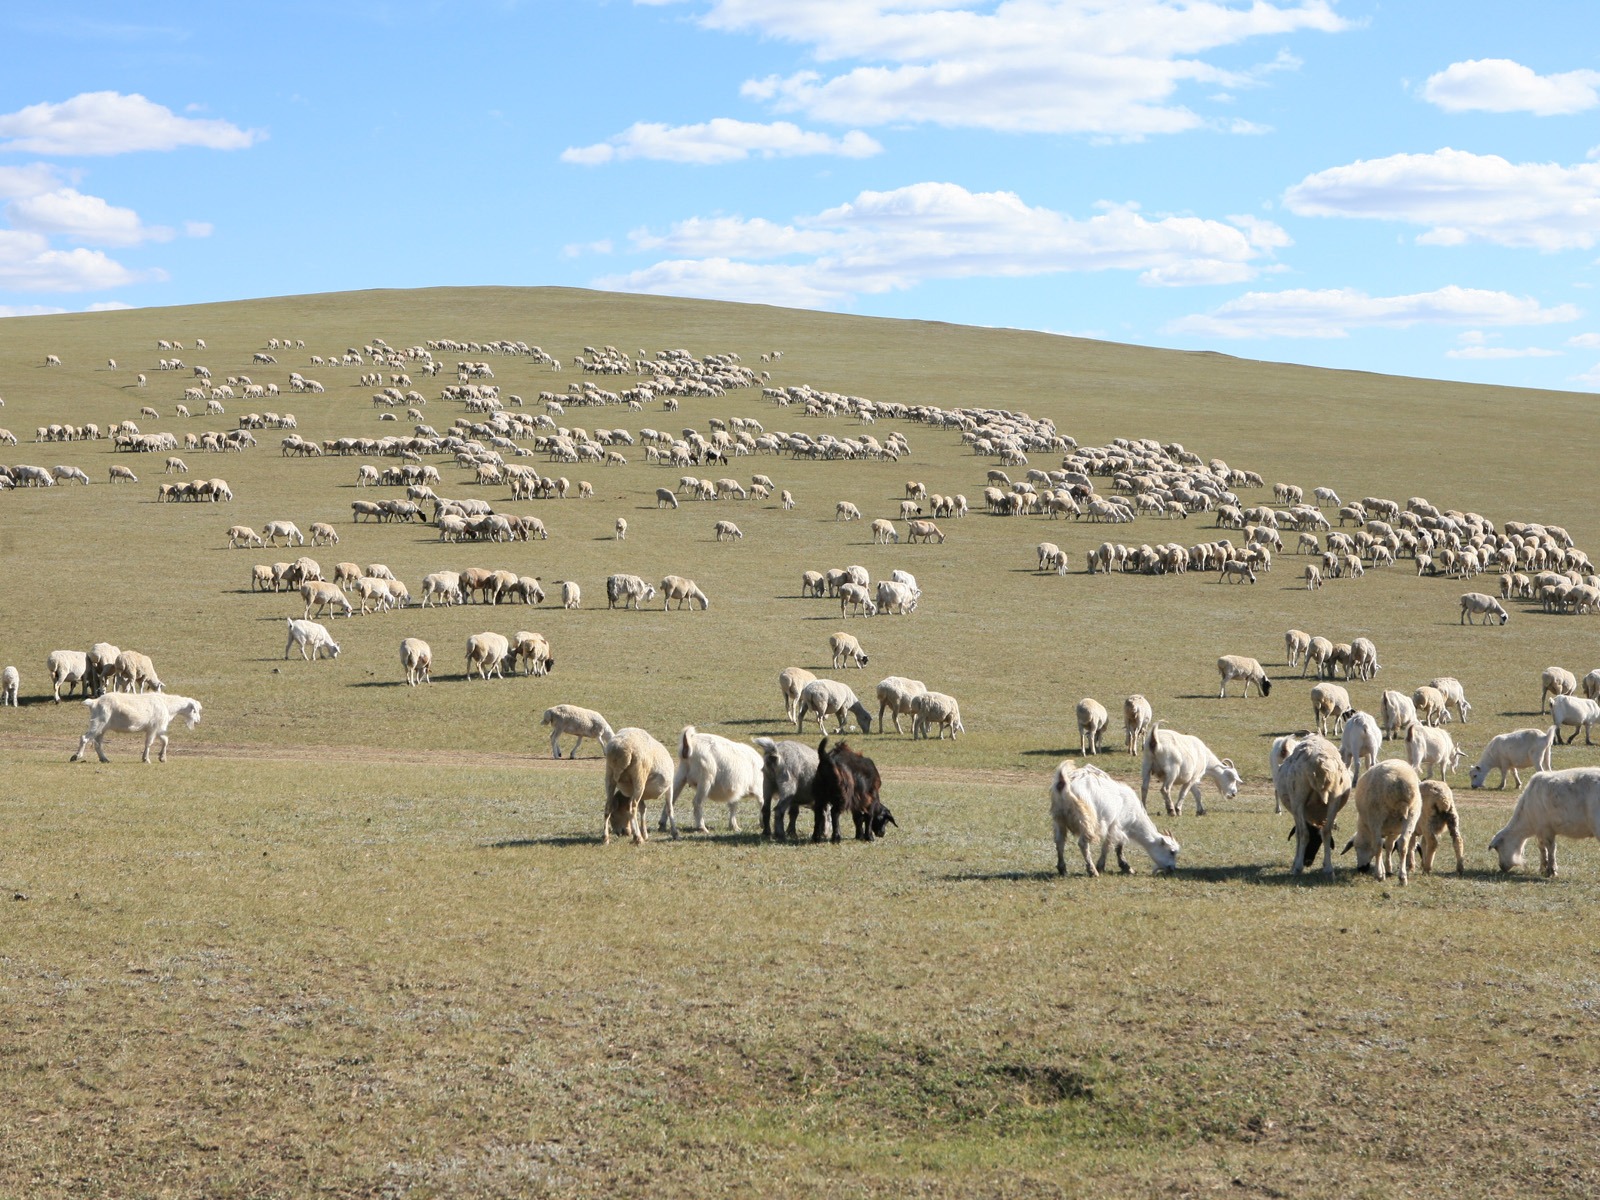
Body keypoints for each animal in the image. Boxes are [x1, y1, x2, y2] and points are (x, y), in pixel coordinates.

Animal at [70, 691, 201, 764]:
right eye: (194, 710)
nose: (198, 721)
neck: (167, 705)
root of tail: (94, 702)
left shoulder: (158, 729)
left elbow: (165, 740)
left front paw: (162, 757)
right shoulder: (153, 728)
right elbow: (149, 743)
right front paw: (146, 759)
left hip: (102, 727)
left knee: (97, 743)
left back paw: (104, 759)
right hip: (98, 723)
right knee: (85, 738)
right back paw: (76, 756)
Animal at [1049, 764, 1177, 876]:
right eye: (1172, 851)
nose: (1172, 868)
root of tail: (1064, 782)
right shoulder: (1116, 826)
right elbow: (1112, 846)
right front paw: (1119, 867)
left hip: (1059, 819)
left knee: (1060, 841)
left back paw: (1063, 869)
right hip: (1087, 821)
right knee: (1083, 843)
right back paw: (1092, 871)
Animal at [1273, 732, 1350, 876]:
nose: (1307, 862)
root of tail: (1319, 764)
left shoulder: (1297, 810)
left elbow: (1298, 834)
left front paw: (1295, 863)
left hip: (1299, 798)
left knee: (1304, 833)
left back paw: (1298, 867)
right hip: (1334, 799)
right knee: (1326, 832)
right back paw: (1328, 869)